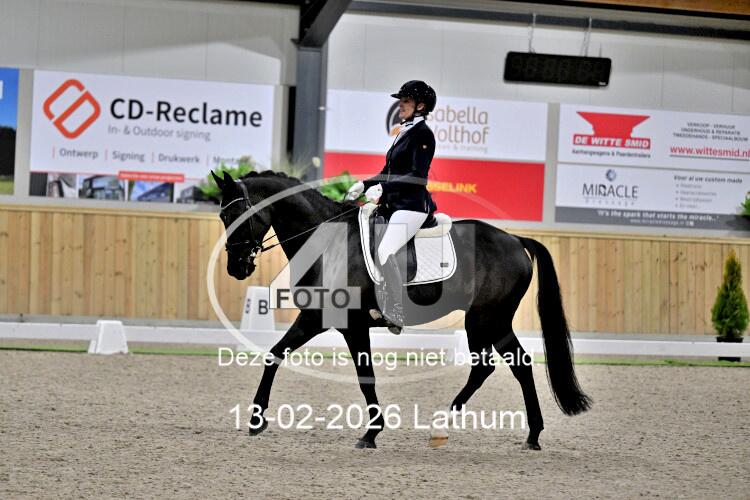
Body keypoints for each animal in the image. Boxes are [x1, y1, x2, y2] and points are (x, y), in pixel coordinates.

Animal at [212, 170, 591, 450]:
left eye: (237, 214)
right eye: (221, 215)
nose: (236, 267)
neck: (327, 243)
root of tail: (515, 240)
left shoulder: (346, 324)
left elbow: (365, 377)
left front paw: (370, 433)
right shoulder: (315, 318)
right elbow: (274, 355)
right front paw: (256, 420)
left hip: (485, 319)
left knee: (488, 367)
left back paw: (442, 428)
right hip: (495, 322)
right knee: (517, 365)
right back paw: (531, 436)